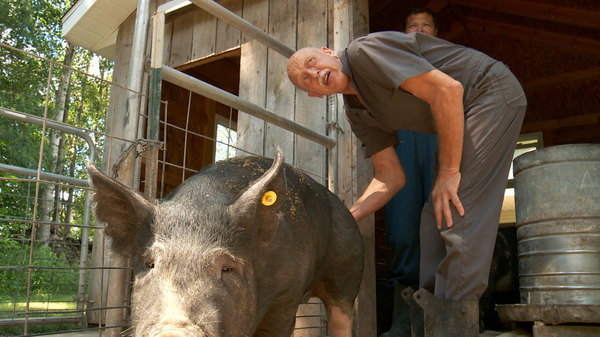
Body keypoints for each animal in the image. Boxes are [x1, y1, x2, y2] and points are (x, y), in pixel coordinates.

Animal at [86, 150, 364, 336]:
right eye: (149, 264)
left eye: (227, 268)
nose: (173, 331)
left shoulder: (286, 294)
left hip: (348, 270)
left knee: (342, 316)